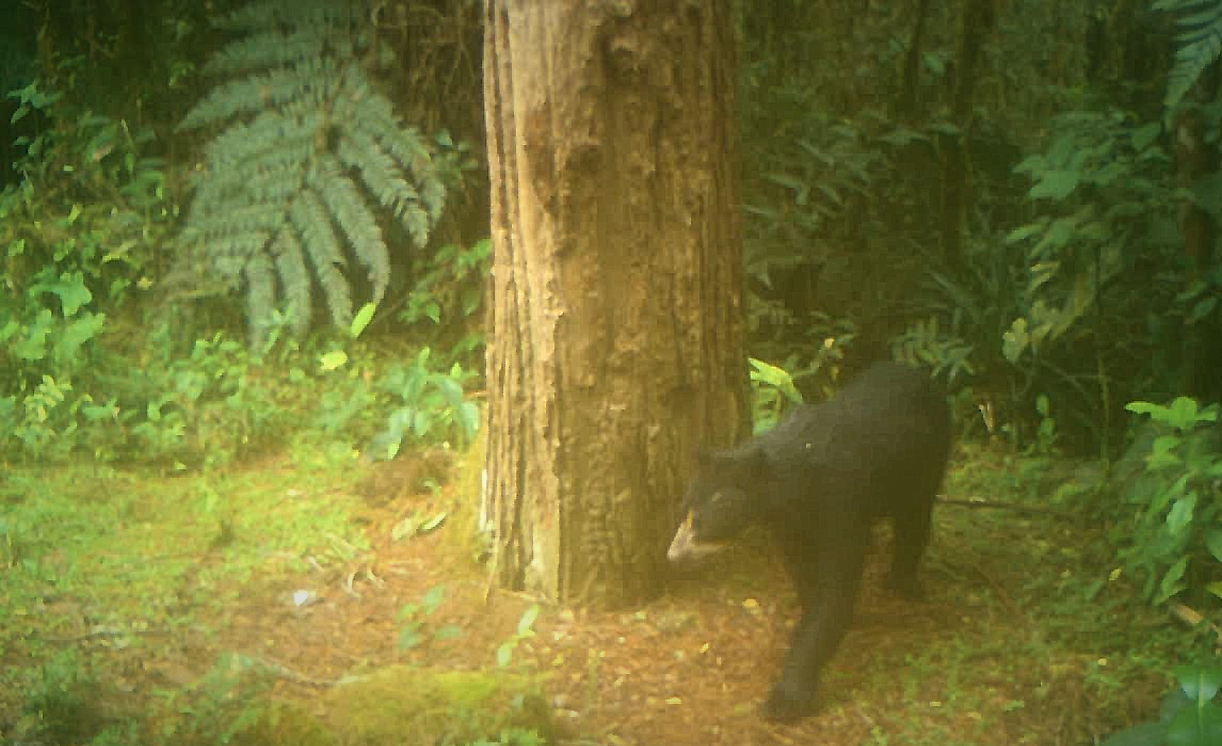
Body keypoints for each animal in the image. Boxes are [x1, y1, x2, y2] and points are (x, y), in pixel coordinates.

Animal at [674, 359, 948, 719]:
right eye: (687, 505)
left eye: (709, 512)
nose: (673, 553)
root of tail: (917, 372)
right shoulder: (790, 531)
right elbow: (805, 579)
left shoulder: (840, 513)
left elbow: (832, 596)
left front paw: (786, 700)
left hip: (925, 472)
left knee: (915, 522)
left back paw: (902, 581)